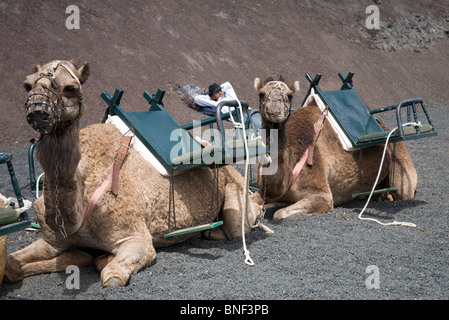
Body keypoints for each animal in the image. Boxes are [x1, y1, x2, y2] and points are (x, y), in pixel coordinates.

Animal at [3, 60, 260, 288]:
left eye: (71, 87)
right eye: (27, 84)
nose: (37, 107)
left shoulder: (136, 238)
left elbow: (112, 275)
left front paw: (100, 260)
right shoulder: (52, 240)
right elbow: (12, 265)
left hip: (235, 188)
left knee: (242, 222)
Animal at [252, 75, 416, 220]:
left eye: (290, 95)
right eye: (261, 94)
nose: (275, 110)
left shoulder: (323, 196)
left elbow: (279, 214)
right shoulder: (265, 191)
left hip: (401, 165)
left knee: (404, 191)